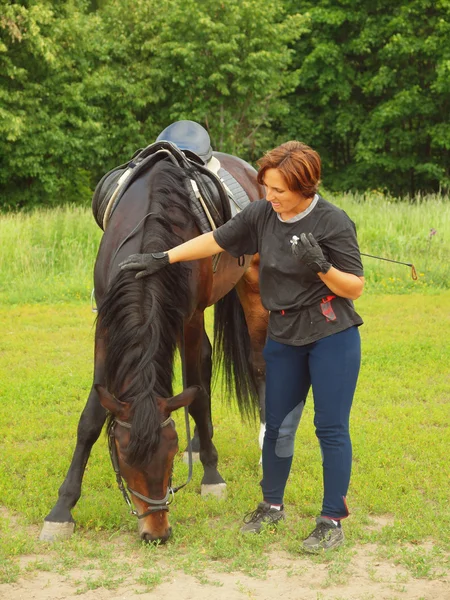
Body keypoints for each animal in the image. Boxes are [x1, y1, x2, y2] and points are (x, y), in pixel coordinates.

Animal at [38, 142, 268, 544]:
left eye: (168, 456)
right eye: (124, 457)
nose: (156, 532)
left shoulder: (189, 319)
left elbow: (196, 394)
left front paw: (212, 477)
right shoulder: (106, 324)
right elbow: (92, 417)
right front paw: (61, 510)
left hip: (251, 286)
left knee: (257, 364)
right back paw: (200, 445)